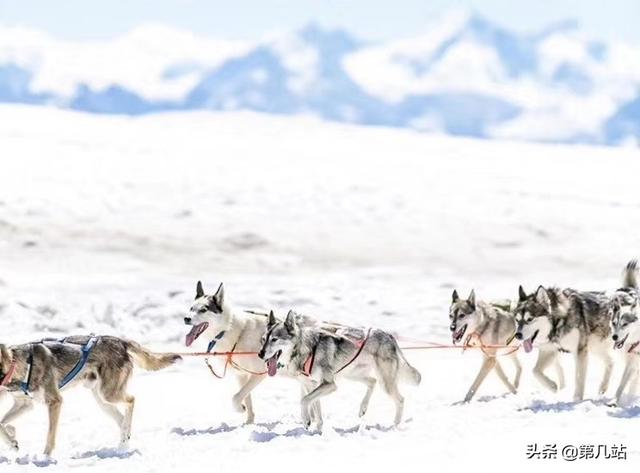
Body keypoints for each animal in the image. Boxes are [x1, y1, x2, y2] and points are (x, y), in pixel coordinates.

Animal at [0, 334, 179, 456]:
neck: (18, 364)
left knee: (131, 400)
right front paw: (12, 440)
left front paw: (45, 457)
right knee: (123, 420)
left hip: (109, 394)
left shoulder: (55, 402)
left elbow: (50, 435)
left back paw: (123, 441)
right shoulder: (25, 404)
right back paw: (124, 442)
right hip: (103, 401)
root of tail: (120, 341)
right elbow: (2, 424)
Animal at [255, 310, 420, 428]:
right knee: (372, 382)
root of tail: (388, 335)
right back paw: (363, 408)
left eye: (274, 339)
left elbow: (304, 400)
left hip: (384, 383)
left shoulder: (329, 384)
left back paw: (395, 425)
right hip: (353, 374)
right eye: (263, 339)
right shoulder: (312, 385)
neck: (306, 349)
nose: (260, 354)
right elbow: (315, 407)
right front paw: (317, 430)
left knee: (400, 400)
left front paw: (306, 420)